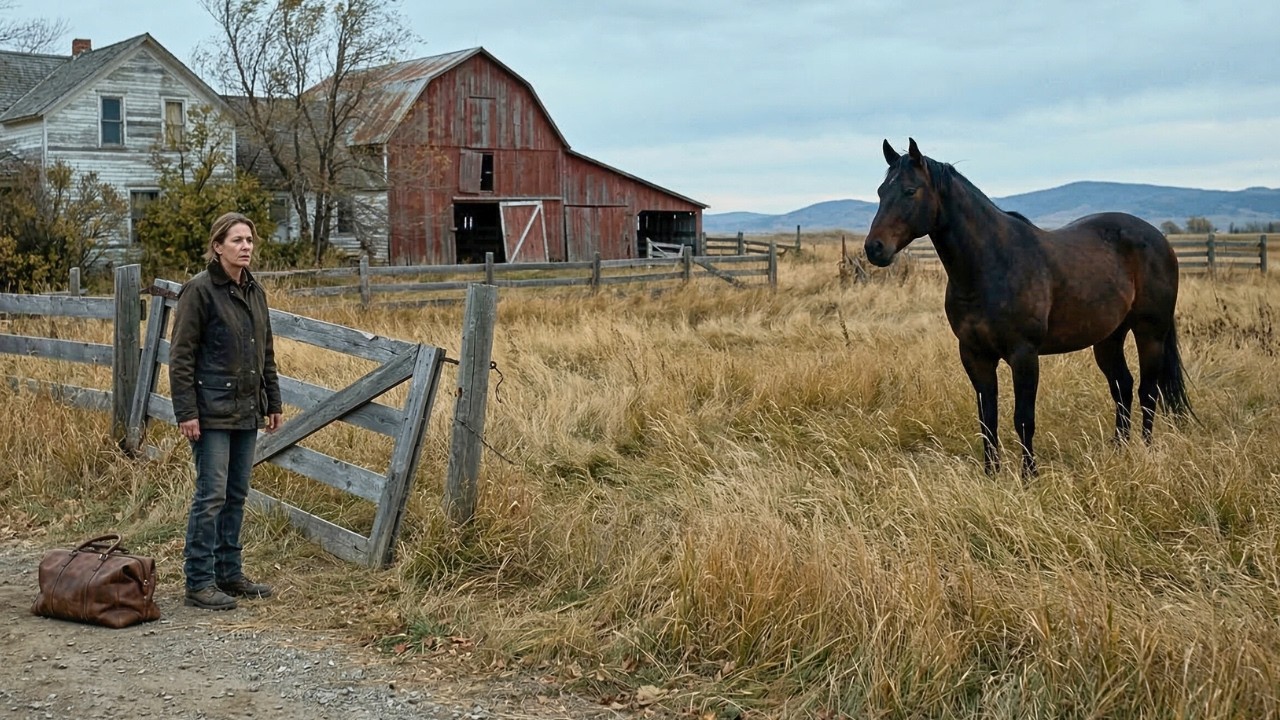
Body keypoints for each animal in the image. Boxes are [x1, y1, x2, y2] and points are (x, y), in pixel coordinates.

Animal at [863, 138, 1191, 477]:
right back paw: (1119, 450)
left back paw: (1146, 451)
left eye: (910, 191)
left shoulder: (1024, 355)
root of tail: (1159, 239)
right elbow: (987, 418)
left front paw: (1029, 475)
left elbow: (1023, 418)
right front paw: (991, 474)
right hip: (1108, 338)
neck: (991, 266)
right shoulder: (974, 354)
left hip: (1150, 332)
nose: (874, 248)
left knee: (1147, 391)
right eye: (881, 191)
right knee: (1122, 387)